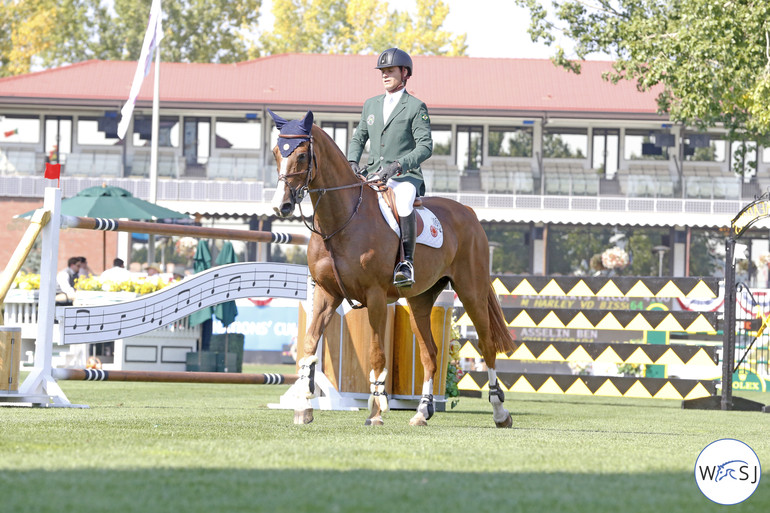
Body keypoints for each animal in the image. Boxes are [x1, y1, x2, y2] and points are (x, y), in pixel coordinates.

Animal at [270, 110, 516, 426]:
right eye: (277, 153)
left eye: (301, 155)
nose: (282, 206)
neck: (341, 221)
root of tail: (469, 212)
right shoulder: (327, 294)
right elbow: (310, 346)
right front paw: (304, 408)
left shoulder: (374, 297)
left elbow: (376, 354)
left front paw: (376, 411)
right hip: (420, 300)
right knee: (430, 353)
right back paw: (422, 411)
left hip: (471, 291)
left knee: (486, 346)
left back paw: (500, 412)